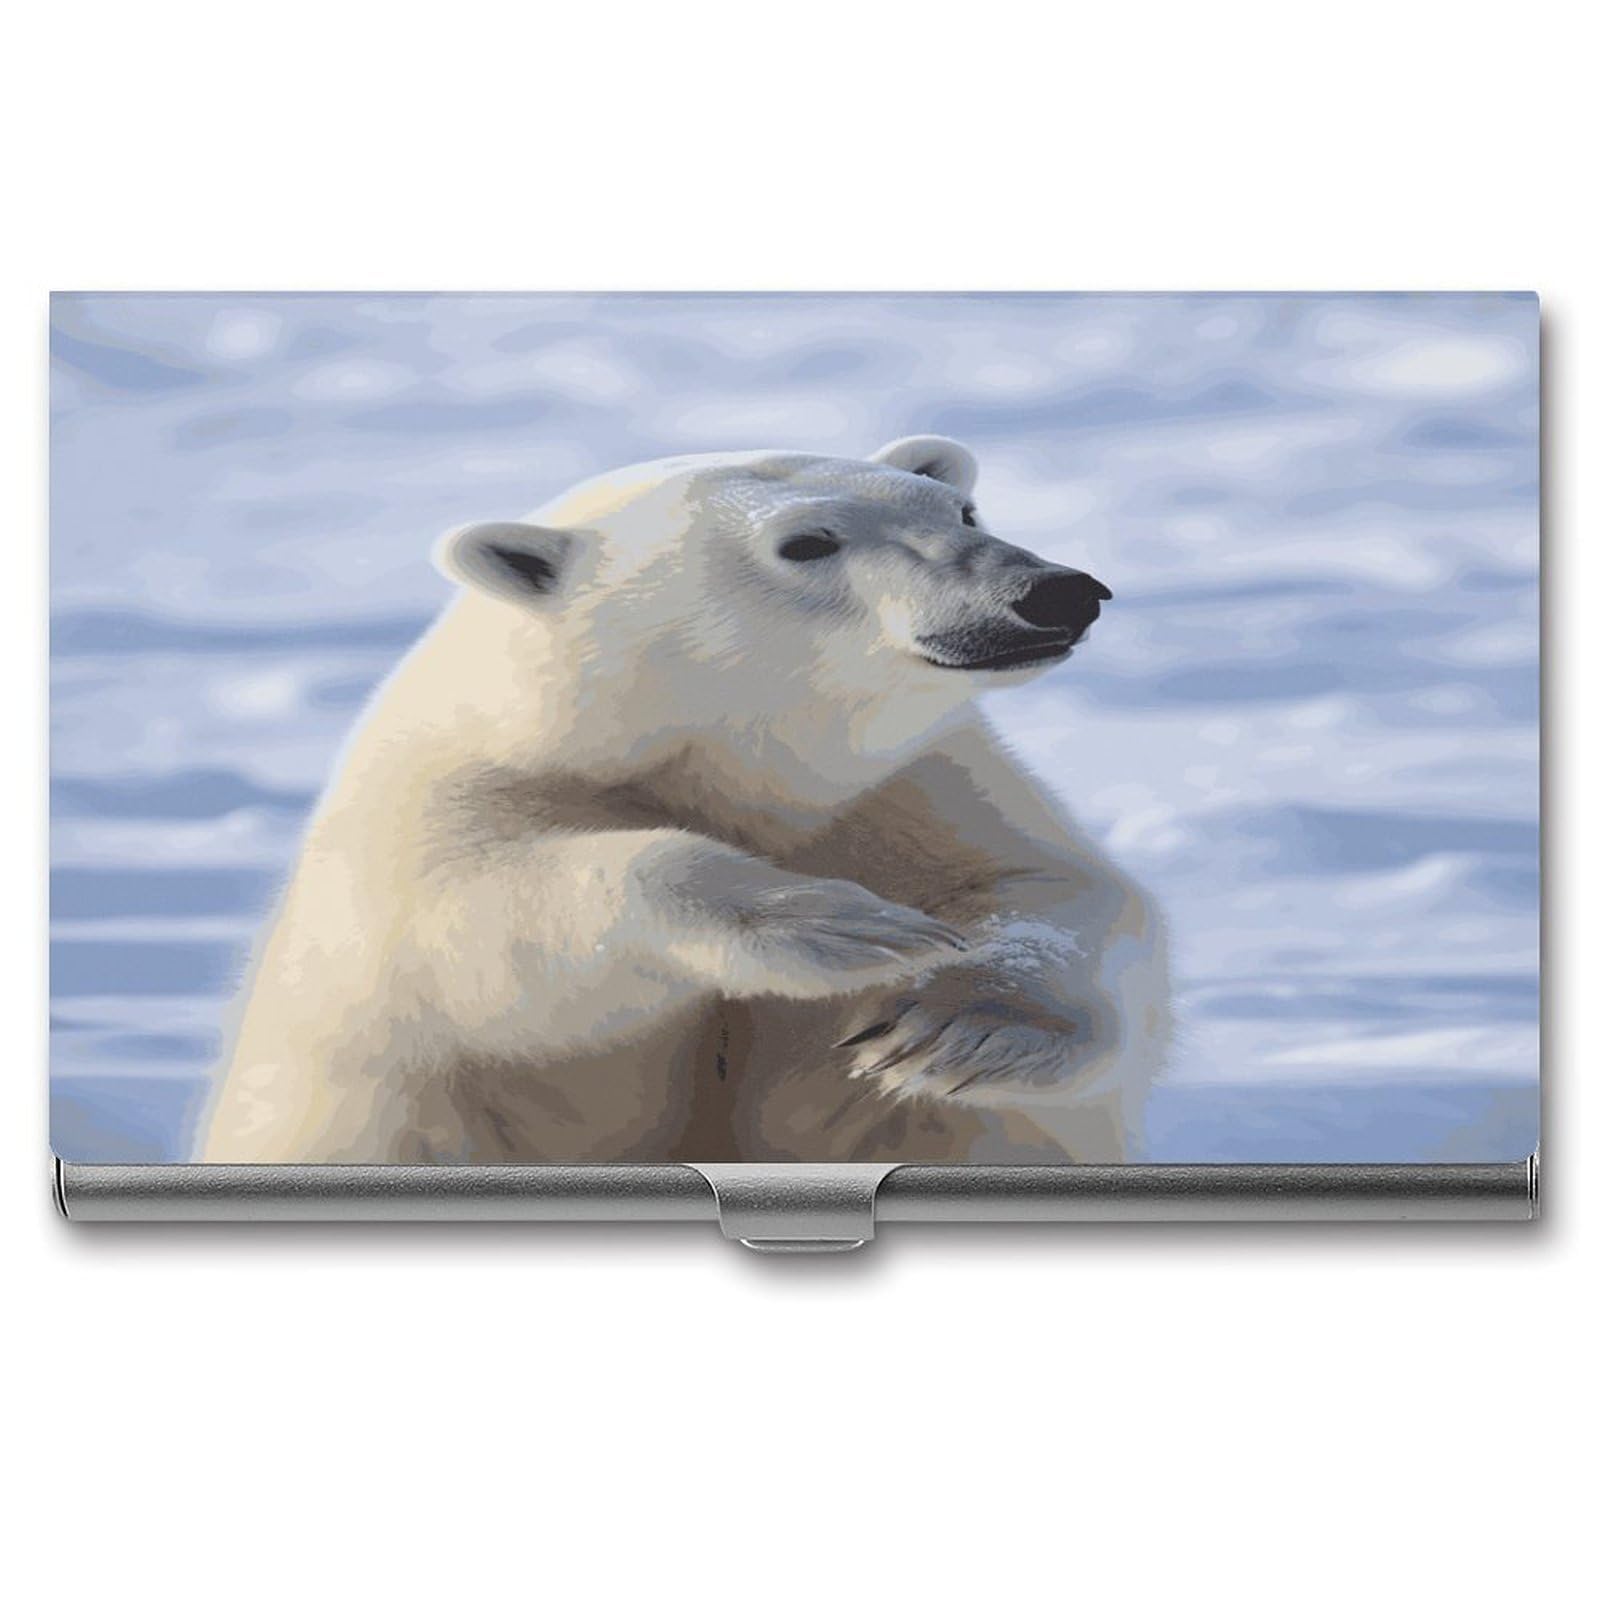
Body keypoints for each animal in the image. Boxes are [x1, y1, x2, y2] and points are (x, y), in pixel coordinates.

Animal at [199, 436, 1168, 1165]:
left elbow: (1059, 891)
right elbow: (470, 925)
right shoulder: (436, 807)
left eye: (961, 511)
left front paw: (958, 1028)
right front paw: (836, 924)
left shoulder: (909, 787)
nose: (1054, 590)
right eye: (807, 542)